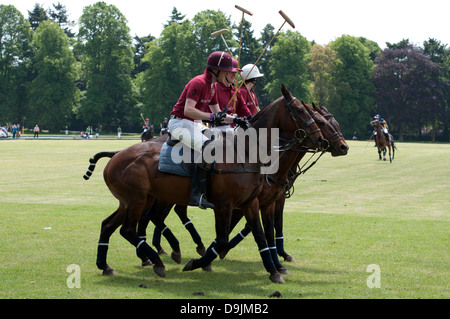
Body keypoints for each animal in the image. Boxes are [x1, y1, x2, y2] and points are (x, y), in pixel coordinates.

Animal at [83, 85, 324, 284]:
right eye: (300, 111)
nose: (321, 139)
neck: (246, 151)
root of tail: (116, 155)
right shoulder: (225, 204)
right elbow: (223, 239)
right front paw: (197, 263)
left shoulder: (252, 202)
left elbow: (260, 234)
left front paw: (274, 270)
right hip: (138, 199)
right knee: (130, 229)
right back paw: (158, 261)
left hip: (132, 200)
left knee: (109, 224)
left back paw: (106, 265)